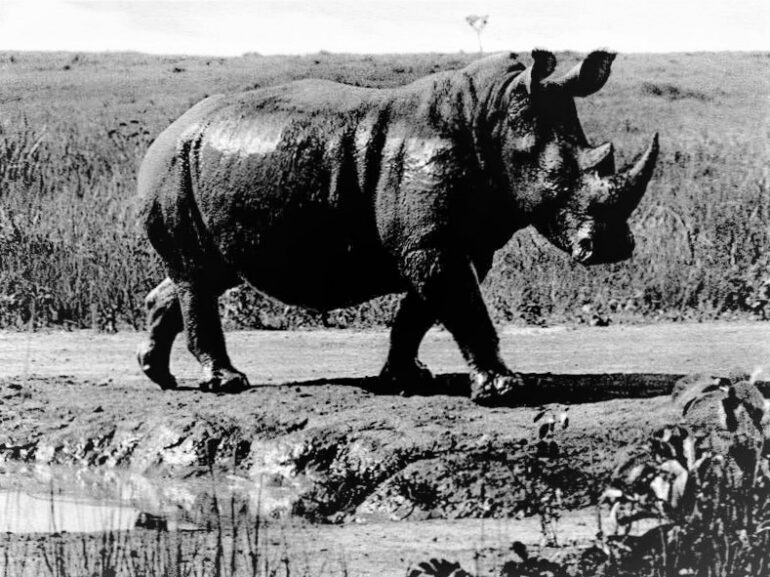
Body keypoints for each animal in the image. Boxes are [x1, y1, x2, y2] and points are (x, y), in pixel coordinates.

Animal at [136, 50, 659, 405]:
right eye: (558, 181)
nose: (613, 248)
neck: (496, 116)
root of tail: (168, 129)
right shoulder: (431, 243)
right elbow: (462, 306)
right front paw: (505, 389)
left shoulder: (458, 242)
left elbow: (421, 312)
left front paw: (407, 379)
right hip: (173, 166)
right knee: (198, 275)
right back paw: (228, 383)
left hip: (197, 169)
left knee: (208, 273)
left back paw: (158, 376)